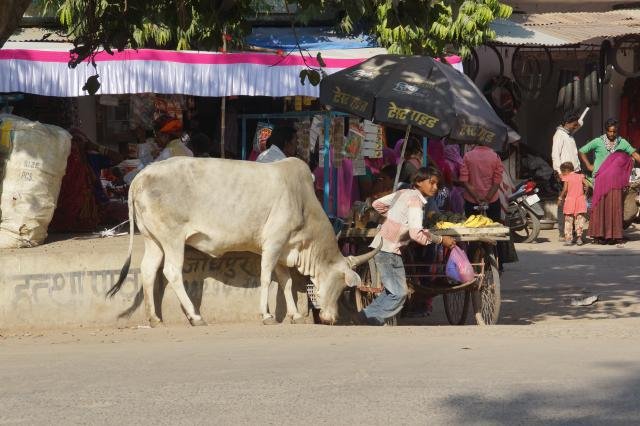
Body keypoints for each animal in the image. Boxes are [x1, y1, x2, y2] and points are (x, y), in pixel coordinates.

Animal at [107, 156, 378, 326]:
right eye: (341, 285)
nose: (331, 318)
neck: (302, 202)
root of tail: (142, 175)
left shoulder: (283, 249)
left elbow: (286, 282)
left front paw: (295, 315)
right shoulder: (273, 244)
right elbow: (267, 278)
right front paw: (266, 315)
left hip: (153, 239)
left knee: (148, 270)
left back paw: (154, 318)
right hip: (172, 238)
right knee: (171, 272)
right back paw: (195, 317)